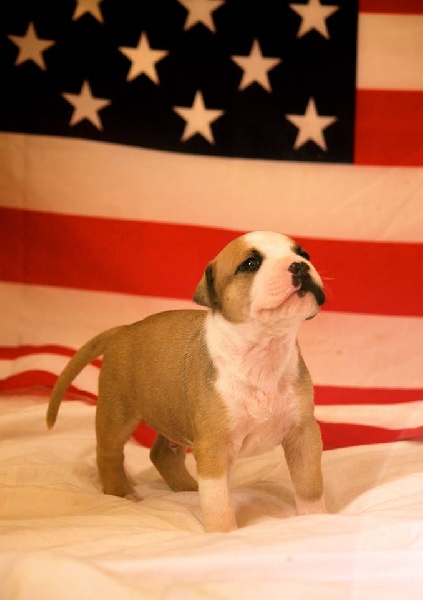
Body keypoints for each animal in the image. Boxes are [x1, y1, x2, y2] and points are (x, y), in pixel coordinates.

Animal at [47, 230, 327, 532]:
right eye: (250, 264)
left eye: (304, 254)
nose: (299, 266)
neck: (263, 350)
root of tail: (123, 331)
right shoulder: (213, 449)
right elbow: (218, 502)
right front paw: (223, 533)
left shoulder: (303, 434)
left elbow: (310, 485)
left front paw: (315, 519)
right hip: (117, 414)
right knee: (108, 454)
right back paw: (121, 493)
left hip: (169, 414)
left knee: (162, 455)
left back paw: (188, 489)